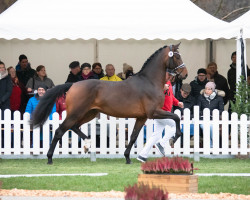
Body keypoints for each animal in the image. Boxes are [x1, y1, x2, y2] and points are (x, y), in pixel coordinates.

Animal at [31, 43, 188, 164]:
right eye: (177, 56)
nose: (185, 74)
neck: (149, 81)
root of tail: (73, 85)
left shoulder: (142, 117)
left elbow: (133, 136)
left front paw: (127, 158)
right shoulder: (154, 112)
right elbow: (176, 117)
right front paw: (174, 138)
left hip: (89, 113)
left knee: (74, 127)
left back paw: (88, 144)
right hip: (76, 113)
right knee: (60, 131)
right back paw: (50, 158)